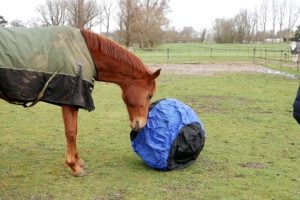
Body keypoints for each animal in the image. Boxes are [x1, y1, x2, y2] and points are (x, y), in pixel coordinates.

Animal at [0, 27, 161, 177]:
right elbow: (70, 132)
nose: (140, 124)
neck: (84, 54)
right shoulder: (69, 101)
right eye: (149, 95)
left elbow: (75, 131)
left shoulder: (75, 103)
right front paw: (73, 166)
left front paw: (78, 161)